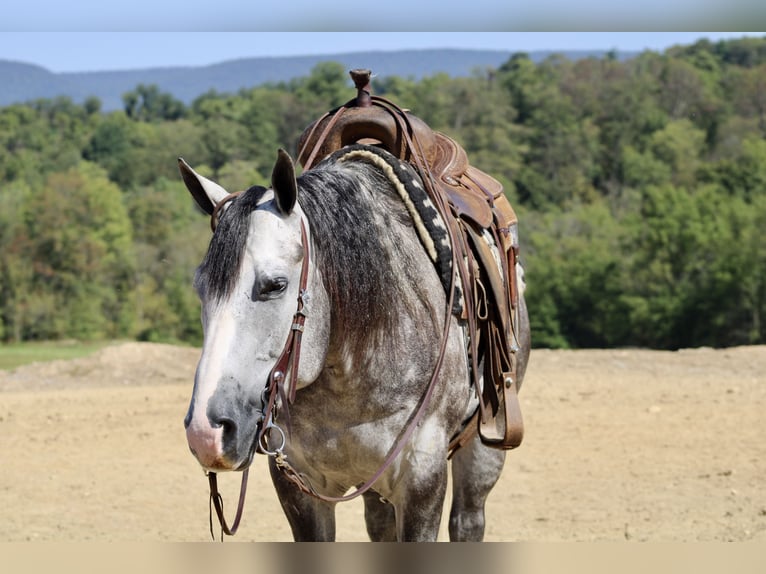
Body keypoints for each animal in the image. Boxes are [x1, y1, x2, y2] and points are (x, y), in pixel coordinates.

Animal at [178, 146, 536, 544]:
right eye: (200, 287)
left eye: (275, 285)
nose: (207, 432)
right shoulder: (299, 485)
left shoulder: (422, 477)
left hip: (483, 450)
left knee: (468, 519)